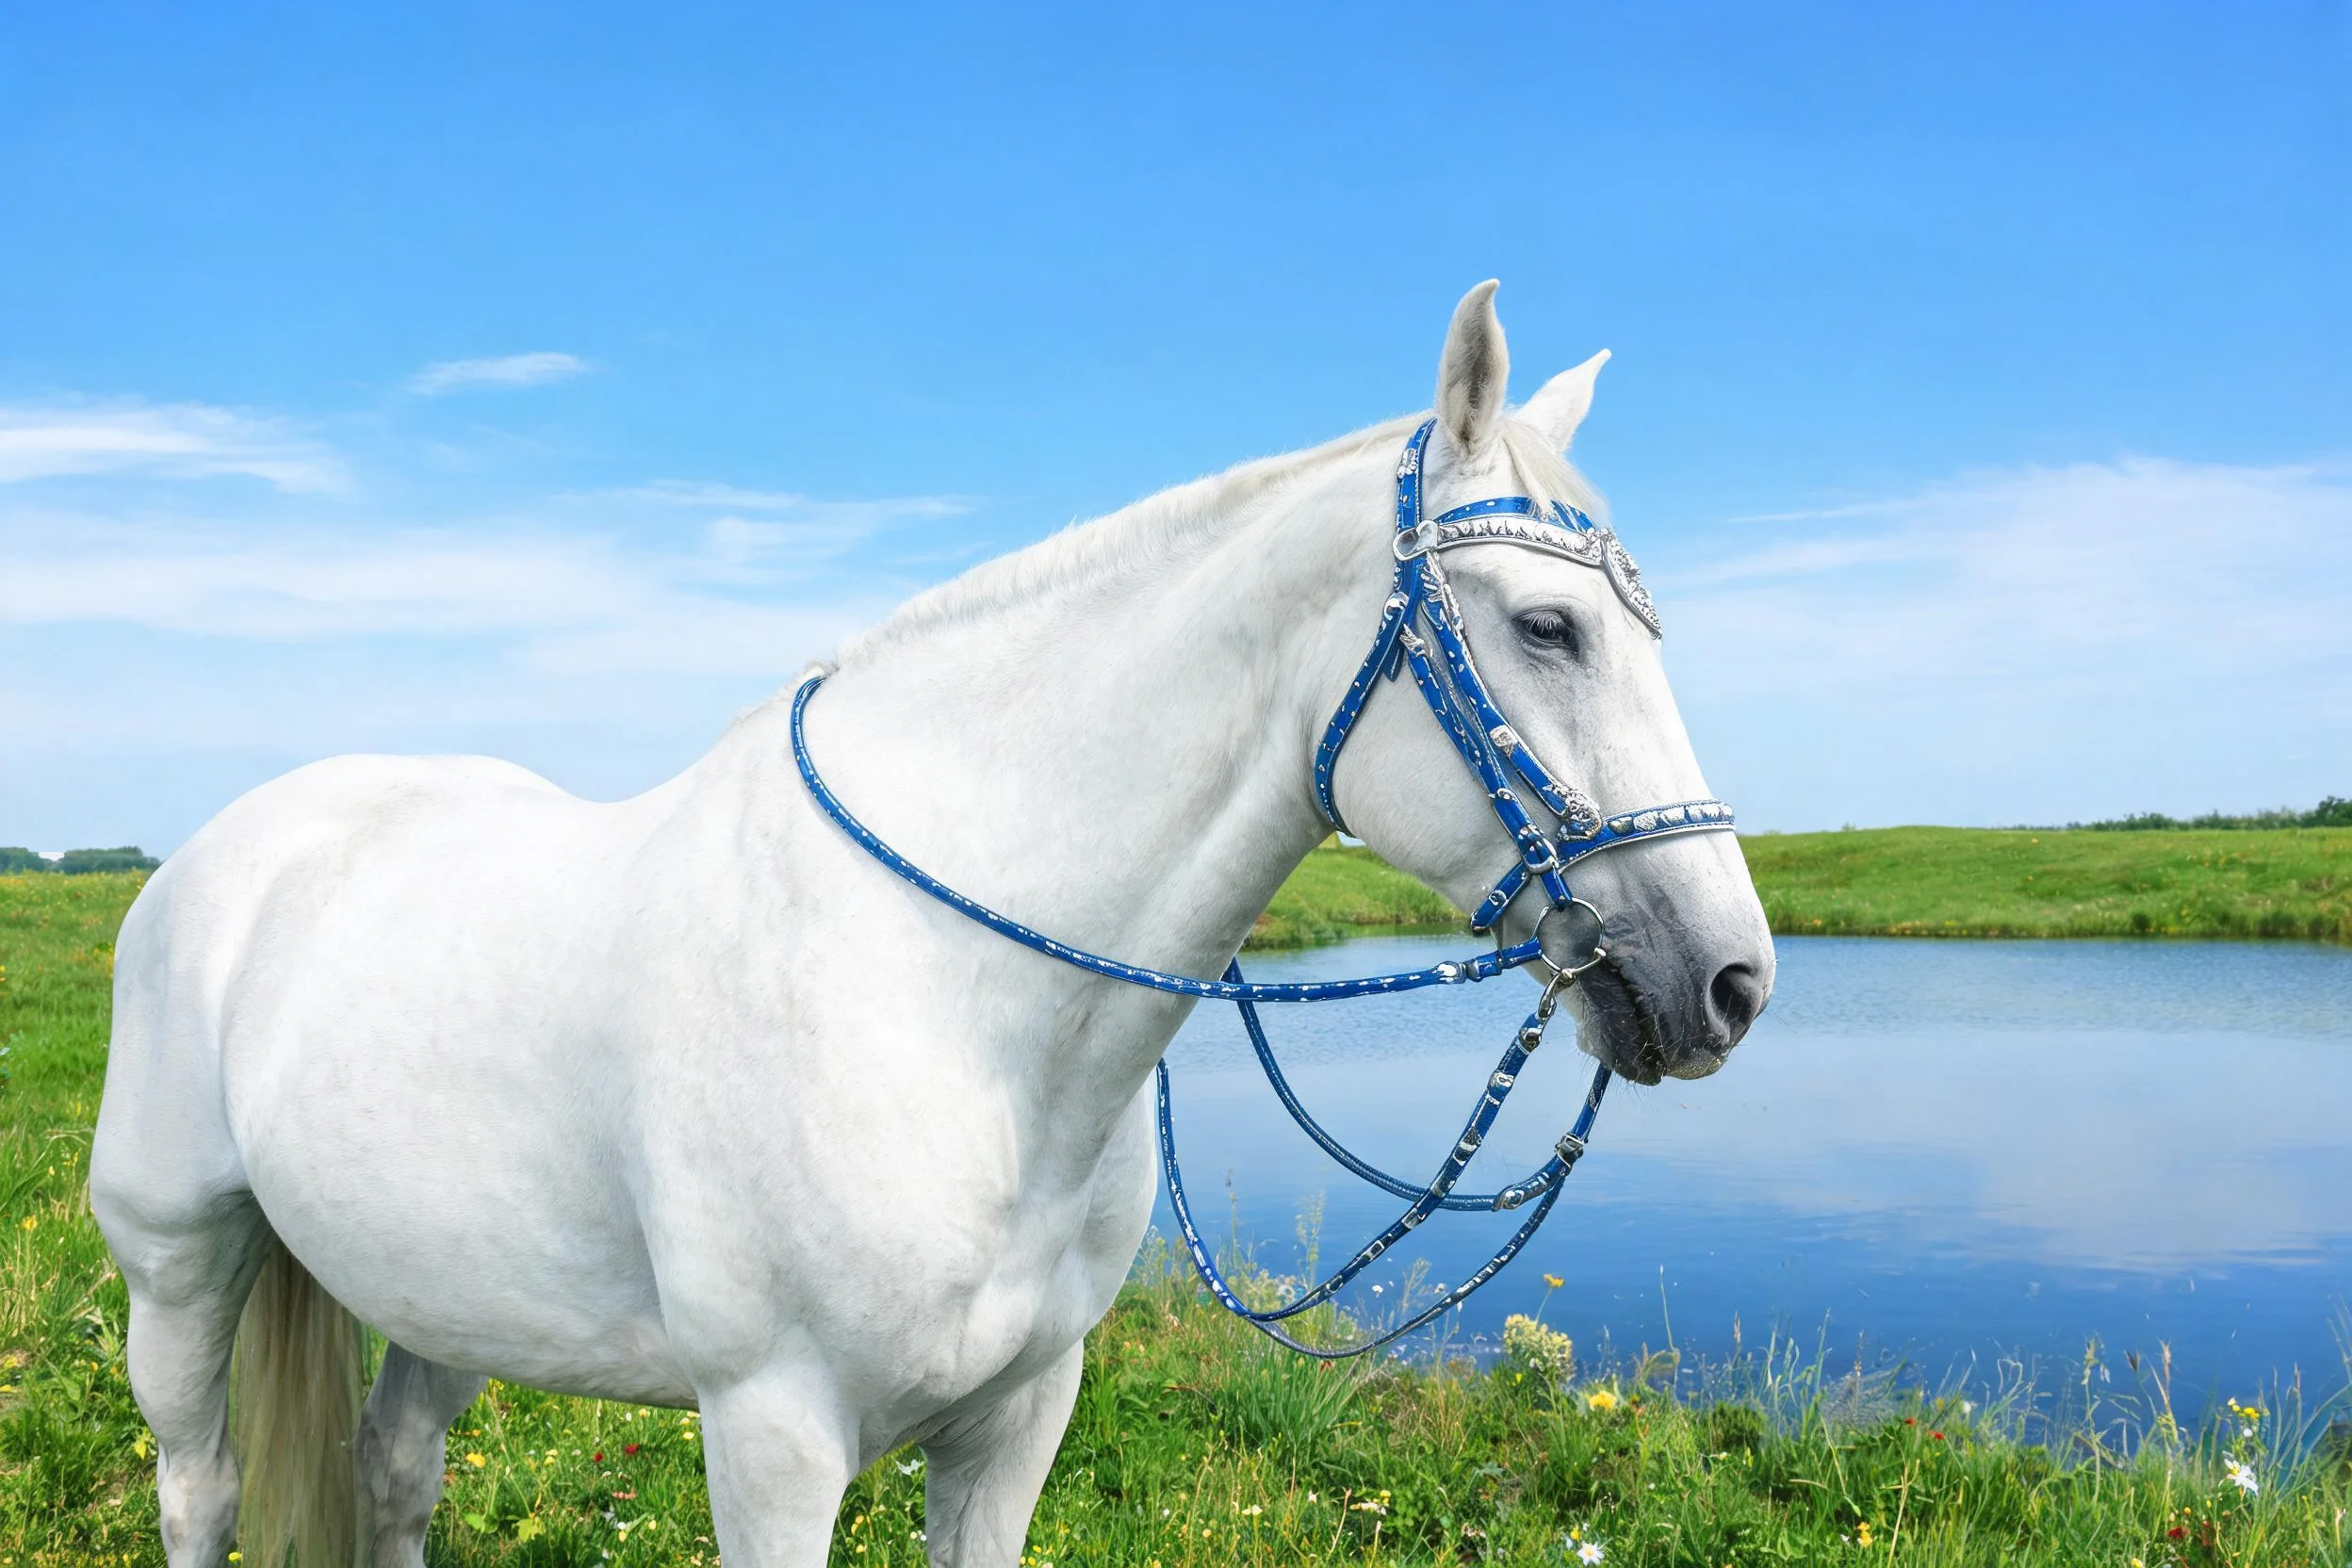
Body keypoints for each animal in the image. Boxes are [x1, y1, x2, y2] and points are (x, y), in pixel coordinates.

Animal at [93, 281, 1774, 1568]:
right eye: (1546, 627)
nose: (1729, 981)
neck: (949, 1007)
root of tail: (223, 857)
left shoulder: (1015, 1422)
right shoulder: (773, 1435)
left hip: (438, 1298)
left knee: (390, 1475)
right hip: (180, 1269)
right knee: (201, 1490)